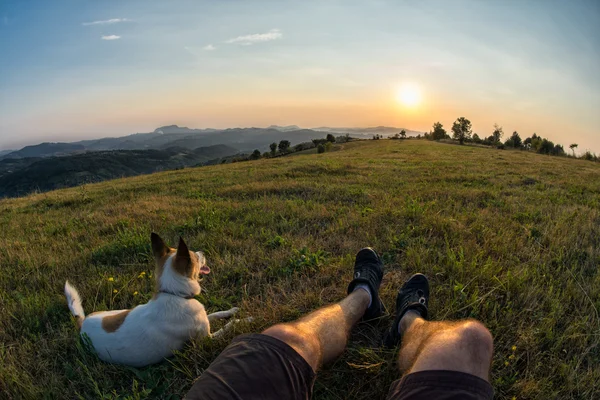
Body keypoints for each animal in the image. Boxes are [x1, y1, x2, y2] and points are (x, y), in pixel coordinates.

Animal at [64, 233, 245, 368]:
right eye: (196, 256)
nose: (203, 252)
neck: (174, 294)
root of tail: (82, 324)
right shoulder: (206, 338)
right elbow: (229, 325)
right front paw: (244, 319)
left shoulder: (204, 320)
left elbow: (216, 313)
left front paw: (232, 310)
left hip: (118, 312)